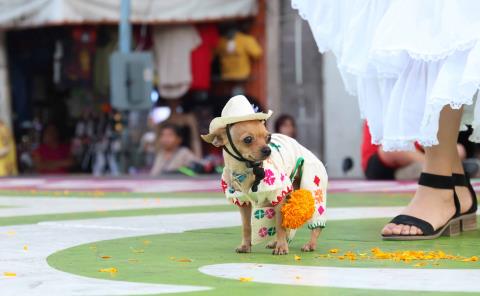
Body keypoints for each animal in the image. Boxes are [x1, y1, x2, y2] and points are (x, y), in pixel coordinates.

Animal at [199, 95, 326, 254]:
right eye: (248, 139)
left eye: (268, 138)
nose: (268, 150)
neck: (246, 171)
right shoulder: (243, 203)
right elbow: (247, 227)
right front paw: (246, 246)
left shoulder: (279, 197)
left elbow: (280, 225)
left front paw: (281, 247)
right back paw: (276, 242)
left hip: (312, 190)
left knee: (315, 224)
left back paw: (309, 244)